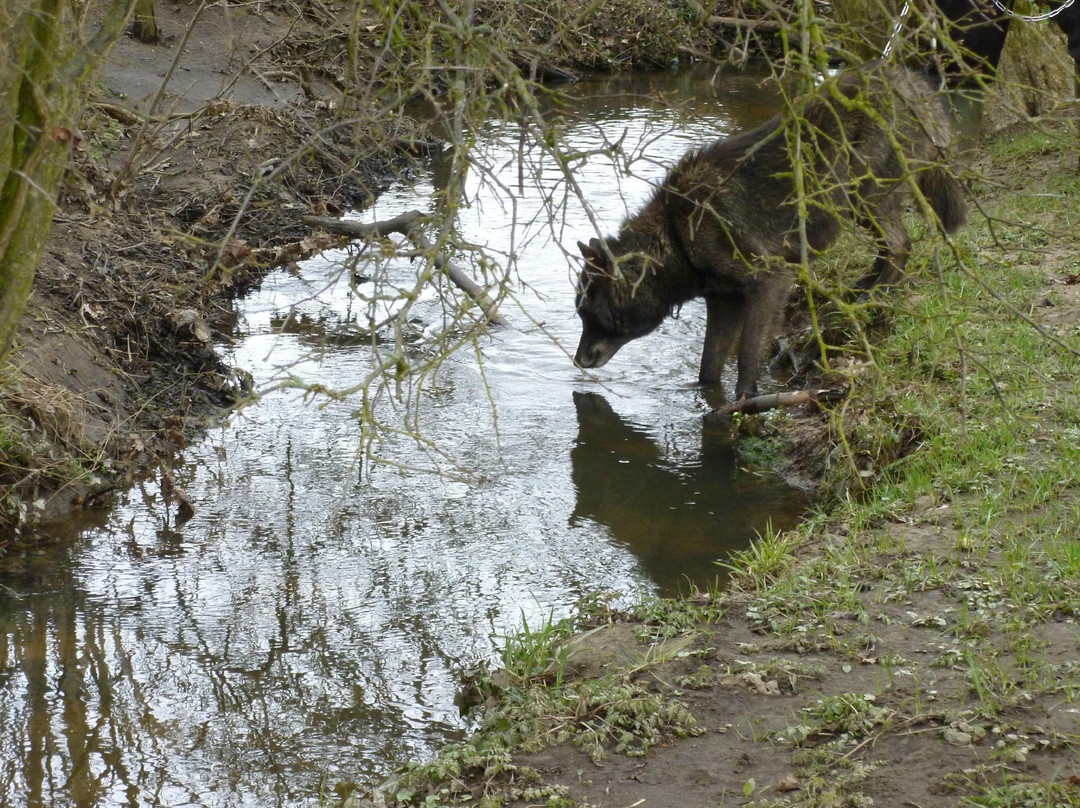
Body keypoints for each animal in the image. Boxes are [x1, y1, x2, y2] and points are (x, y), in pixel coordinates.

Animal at [574, 64, 972, 399]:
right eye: (581, 314)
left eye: (592, 314)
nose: (578, 361)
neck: (676, 232)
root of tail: (911, 83)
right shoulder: (723, 302)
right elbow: (708, 367)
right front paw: (706, 399)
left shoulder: (770, 282)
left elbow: (748, 356)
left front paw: (742, 404)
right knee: (889, 250)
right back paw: (858, 294)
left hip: (861, 199)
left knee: (901, 246)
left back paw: (866, 302)